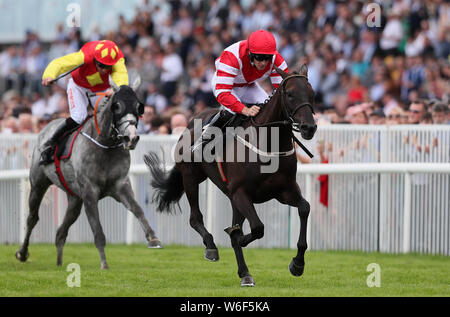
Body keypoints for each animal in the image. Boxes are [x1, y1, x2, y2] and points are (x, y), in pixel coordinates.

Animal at [15, 78, 162, 268]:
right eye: (117, 106)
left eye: (139, 107)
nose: (131, 138)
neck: (105, 146)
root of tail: (46, 127)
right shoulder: (89, 191)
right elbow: (97, 230)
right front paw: (104, 264)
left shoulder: (120, 185)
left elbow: (137, 209)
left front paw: (153, 238)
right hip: (38, 184)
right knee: (32, 218)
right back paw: (22, 253)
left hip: (74, 198)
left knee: (61, 231)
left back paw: (59, 264)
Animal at [145, 64, 316, 284]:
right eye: (290, 94)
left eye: (312, 94)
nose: (309, 127)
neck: (268, 144)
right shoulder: (241, 193)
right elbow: (256, 228)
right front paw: (238, 237)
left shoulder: (285, 191)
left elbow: (304, 208)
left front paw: (297, 263)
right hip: (191, 177)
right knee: (195, 218)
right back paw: (212, 247)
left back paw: (245, 273)